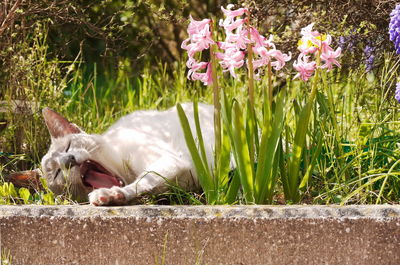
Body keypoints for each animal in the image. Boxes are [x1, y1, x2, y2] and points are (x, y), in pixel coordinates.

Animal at [10, 103, 214, 204]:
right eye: (58, 173)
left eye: (68, 147)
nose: (69, 160)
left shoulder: (170, 160)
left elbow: (142, 181)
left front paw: (112, 195)